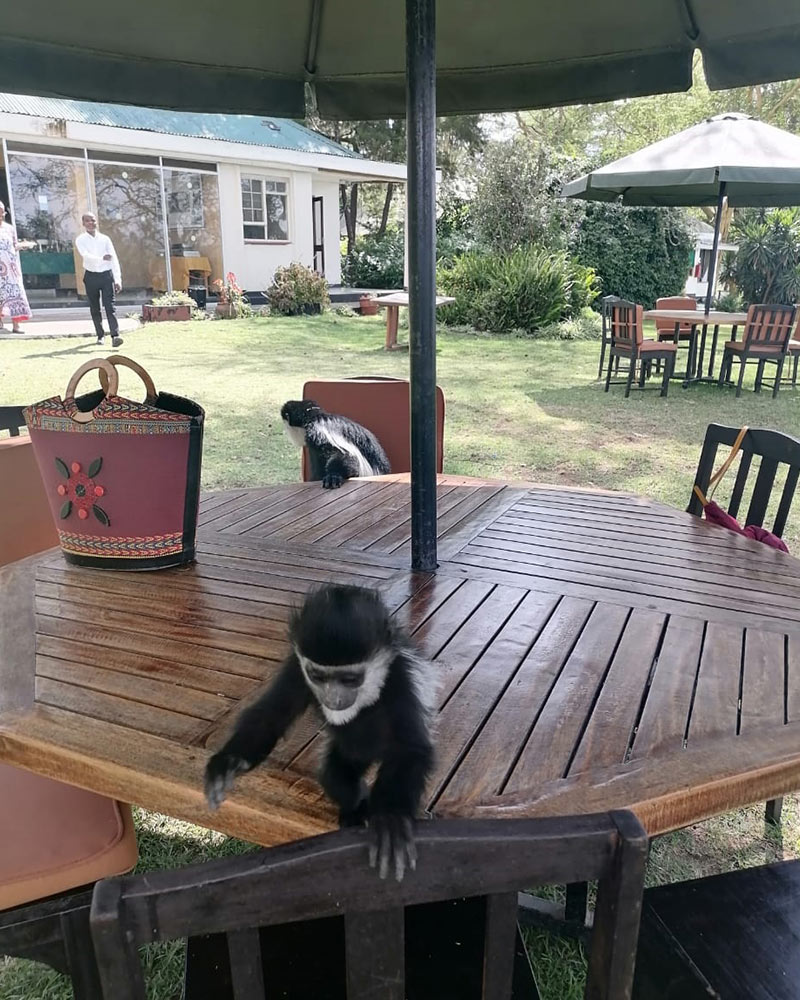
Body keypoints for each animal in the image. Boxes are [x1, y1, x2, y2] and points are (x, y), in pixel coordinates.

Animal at [204, 584, 437, 881]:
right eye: (318, 676)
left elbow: (410, 748)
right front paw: (227, 763)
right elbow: (270, 716)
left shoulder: (399, 679)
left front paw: (391, 820)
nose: (333, 698)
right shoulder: (296, 668)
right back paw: (356, 809)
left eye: (350, 679)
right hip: (348, 756)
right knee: (336, 776)